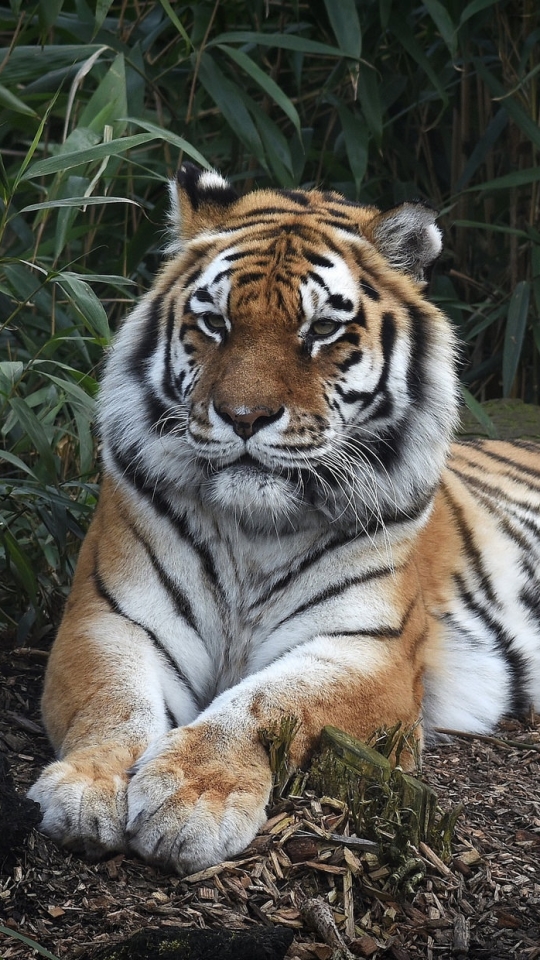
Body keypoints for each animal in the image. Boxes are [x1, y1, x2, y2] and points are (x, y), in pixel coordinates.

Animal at [28, 165, 540, 876]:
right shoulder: (110, 619)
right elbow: (113, 702)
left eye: (322, 329)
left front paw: (194, 796)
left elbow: (266, 703)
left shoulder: (367, 650)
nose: (244, 417)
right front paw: (88, 785)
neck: (255, 530)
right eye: (214, 322)